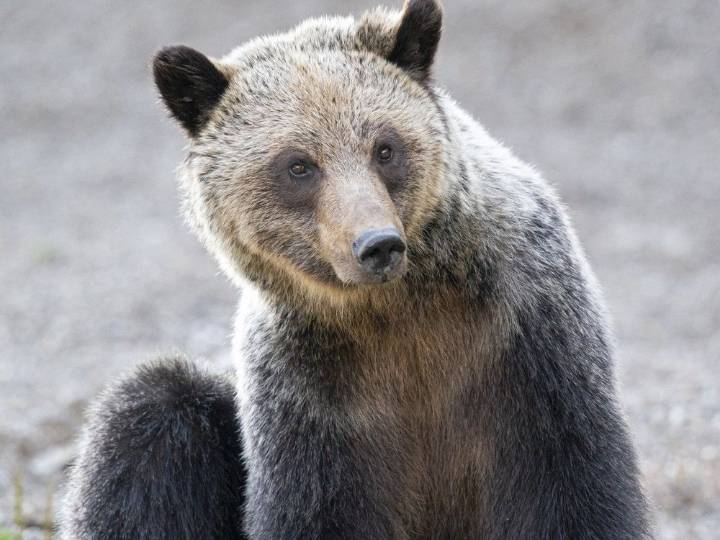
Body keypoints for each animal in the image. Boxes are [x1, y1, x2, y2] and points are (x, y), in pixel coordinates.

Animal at [60, 0, 651, 538]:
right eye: (298, 165)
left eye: (385, 147)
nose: (377, 245)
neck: (397, 310)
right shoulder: (312, 397)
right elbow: (317, 509)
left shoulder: (526, 340)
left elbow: (570, 485)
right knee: (152, 416)